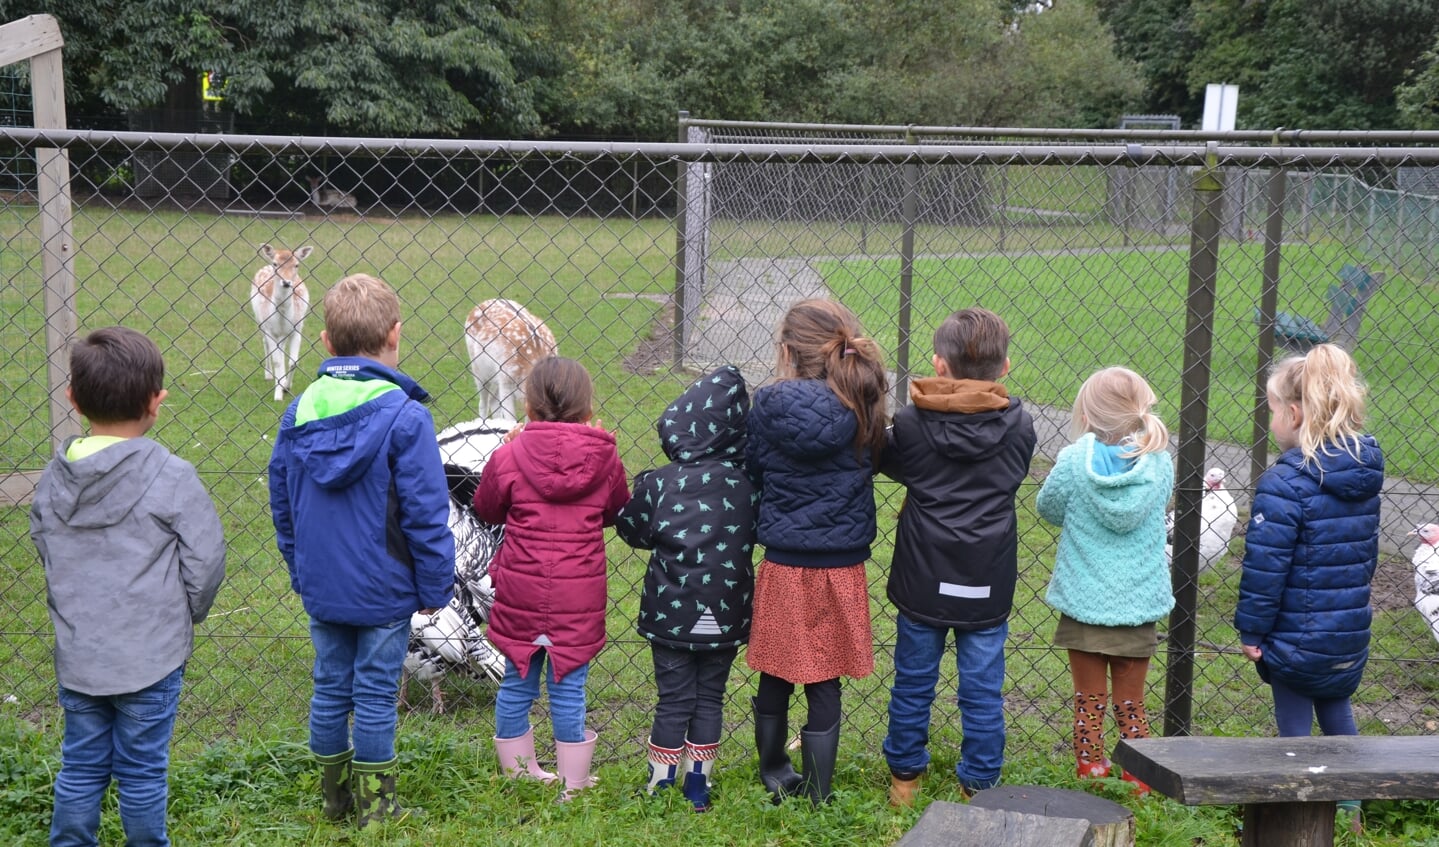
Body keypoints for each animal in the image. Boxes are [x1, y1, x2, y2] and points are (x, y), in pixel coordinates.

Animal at [250, 243, 312, 402]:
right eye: (276, 264)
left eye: (296, 264)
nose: (286, 282)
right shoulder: (270, 330)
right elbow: (277, 361)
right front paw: (278, 394)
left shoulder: (297, 328)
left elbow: (293, 361)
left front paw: (286, 387)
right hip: (260, 320)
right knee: (266, 344)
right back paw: (269, 375)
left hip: (284, 334)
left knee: (282, 349)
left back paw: (282, 380)